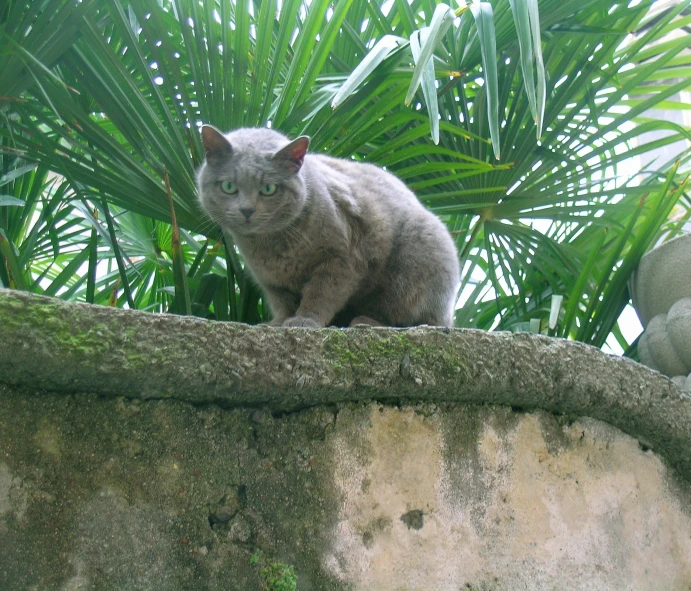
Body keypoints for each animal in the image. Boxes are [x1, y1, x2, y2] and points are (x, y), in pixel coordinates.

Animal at [197, 126, 462, 328]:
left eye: (269, 189)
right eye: (229, 186)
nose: (246, 210)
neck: (270, 246)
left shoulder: (343, 259)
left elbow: (321, 294)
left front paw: (304, 321)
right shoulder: (270, 279)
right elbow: (282, 303)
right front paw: (277, 323)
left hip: (415, 263)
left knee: (411, 318)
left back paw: (365, 322)